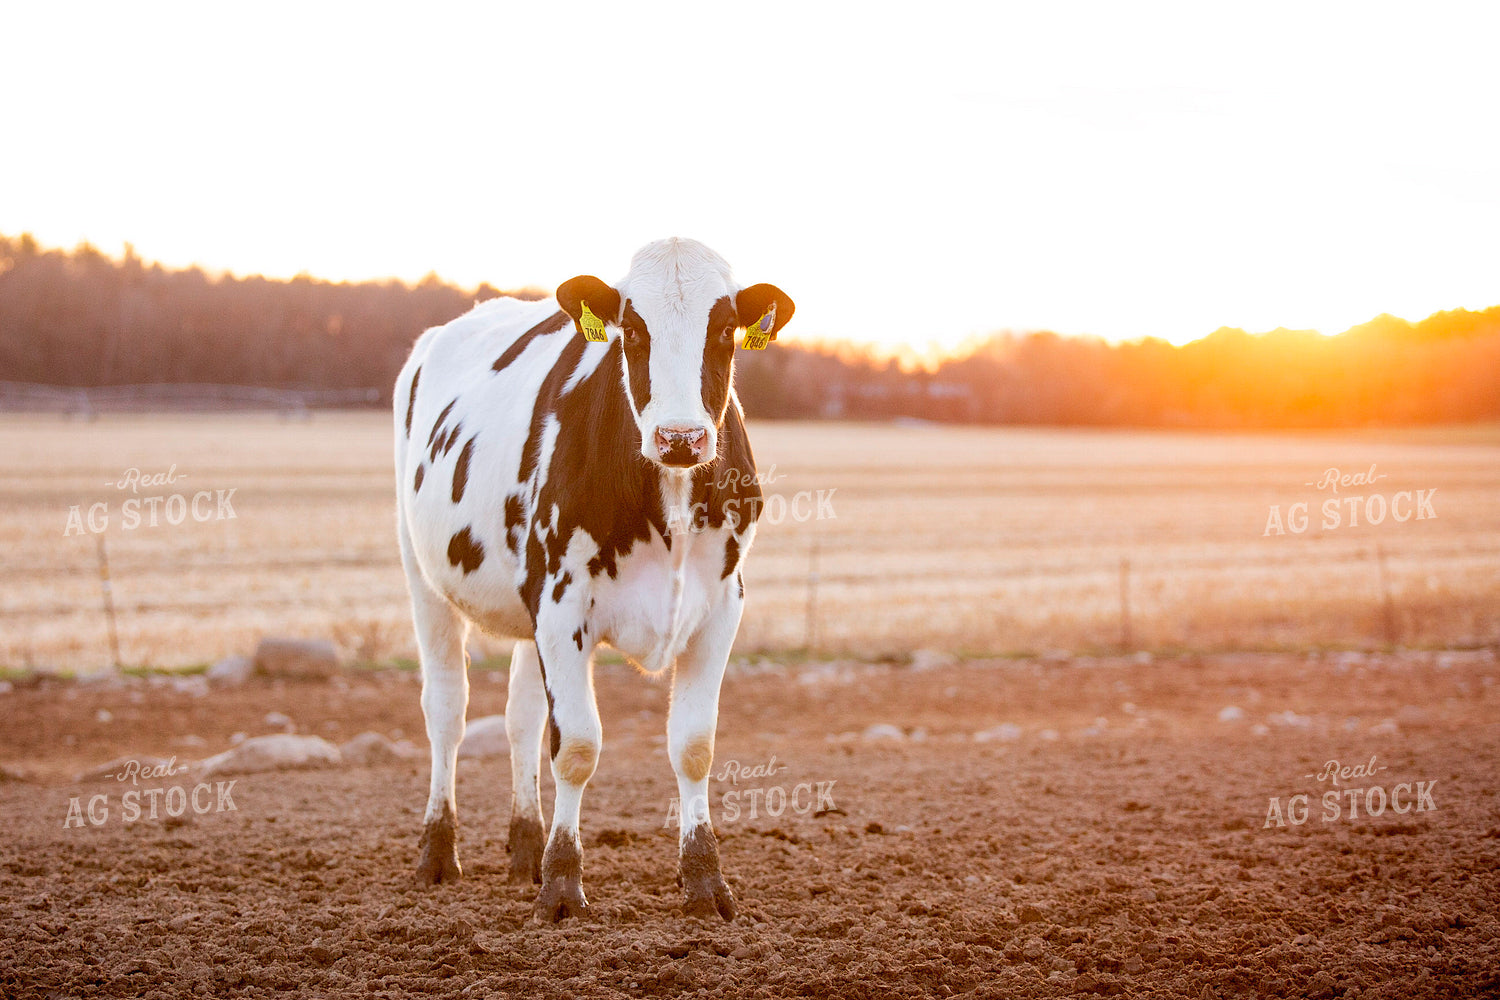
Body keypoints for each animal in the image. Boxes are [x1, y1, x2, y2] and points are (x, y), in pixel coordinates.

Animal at [392, 238, 793, 922]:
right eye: (632, 330)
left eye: (725, 330)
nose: (680, 437)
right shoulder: (562, 605)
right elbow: (577, 747)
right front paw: (561, 887)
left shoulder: (721, 607)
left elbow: (694, 745)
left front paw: (704, 882)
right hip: (424, 577)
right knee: (447, 712)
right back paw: (437, 854)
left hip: (527, 607)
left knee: (520, 717)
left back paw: (525, 849)